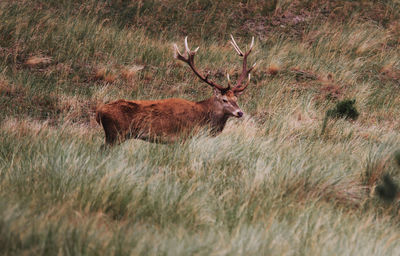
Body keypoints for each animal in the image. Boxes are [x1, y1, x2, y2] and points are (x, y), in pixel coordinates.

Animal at [97, 35, 256, 147]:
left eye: (236, 99)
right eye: (224, 100)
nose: (240, 113)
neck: (202, 118)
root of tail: (100, 112)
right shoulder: (184, 137)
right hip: (115, 134)